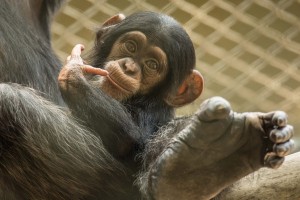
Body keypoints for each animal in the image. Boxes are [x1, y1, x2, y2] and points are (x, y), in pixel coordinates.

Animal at [0, 0, 294, 200]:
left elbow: (132, 138)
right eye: (130, 47)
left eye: (152, 64)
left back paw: (200, 163)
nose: (130, 66)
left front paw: (73, 72)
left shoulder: (153, 111)